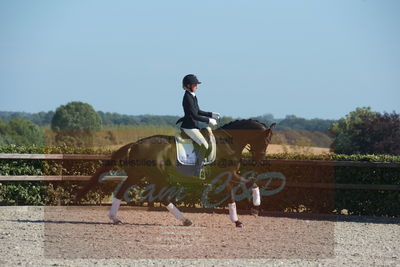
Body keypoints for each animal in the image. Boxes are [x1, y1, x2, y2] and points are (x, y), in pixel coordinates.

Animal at [75, 119, 276, 228]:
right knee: (163, 198)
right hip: (158, 175)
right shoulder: (228, 175)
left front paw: (240, 218)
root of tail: (136, 143)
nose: (260, 160)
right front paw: (252, 210)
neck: (228, 143)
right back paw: (186, 220)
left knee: (121, 192)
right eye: (266, 140)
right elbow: (250, 184)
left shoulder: (227, 177)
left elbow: (239, 192)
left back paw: (115, 218)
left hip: (138, 174)